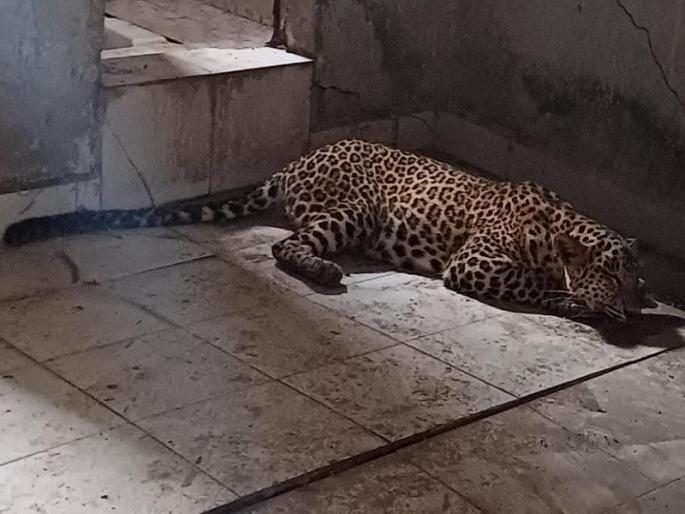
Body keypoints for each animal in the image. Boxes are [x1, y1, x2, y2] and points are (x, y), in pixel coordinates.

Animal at [3, 139, 650, 321]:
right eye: (615, 277)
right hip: (355, 210)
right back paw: (324, 271)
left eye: (637, 279)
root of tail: (296, 162)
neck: (559, 226)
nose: (635, 306)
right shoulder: (475, 264)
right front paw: (584, 304)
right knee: (283, 245)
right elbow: (541, 286)